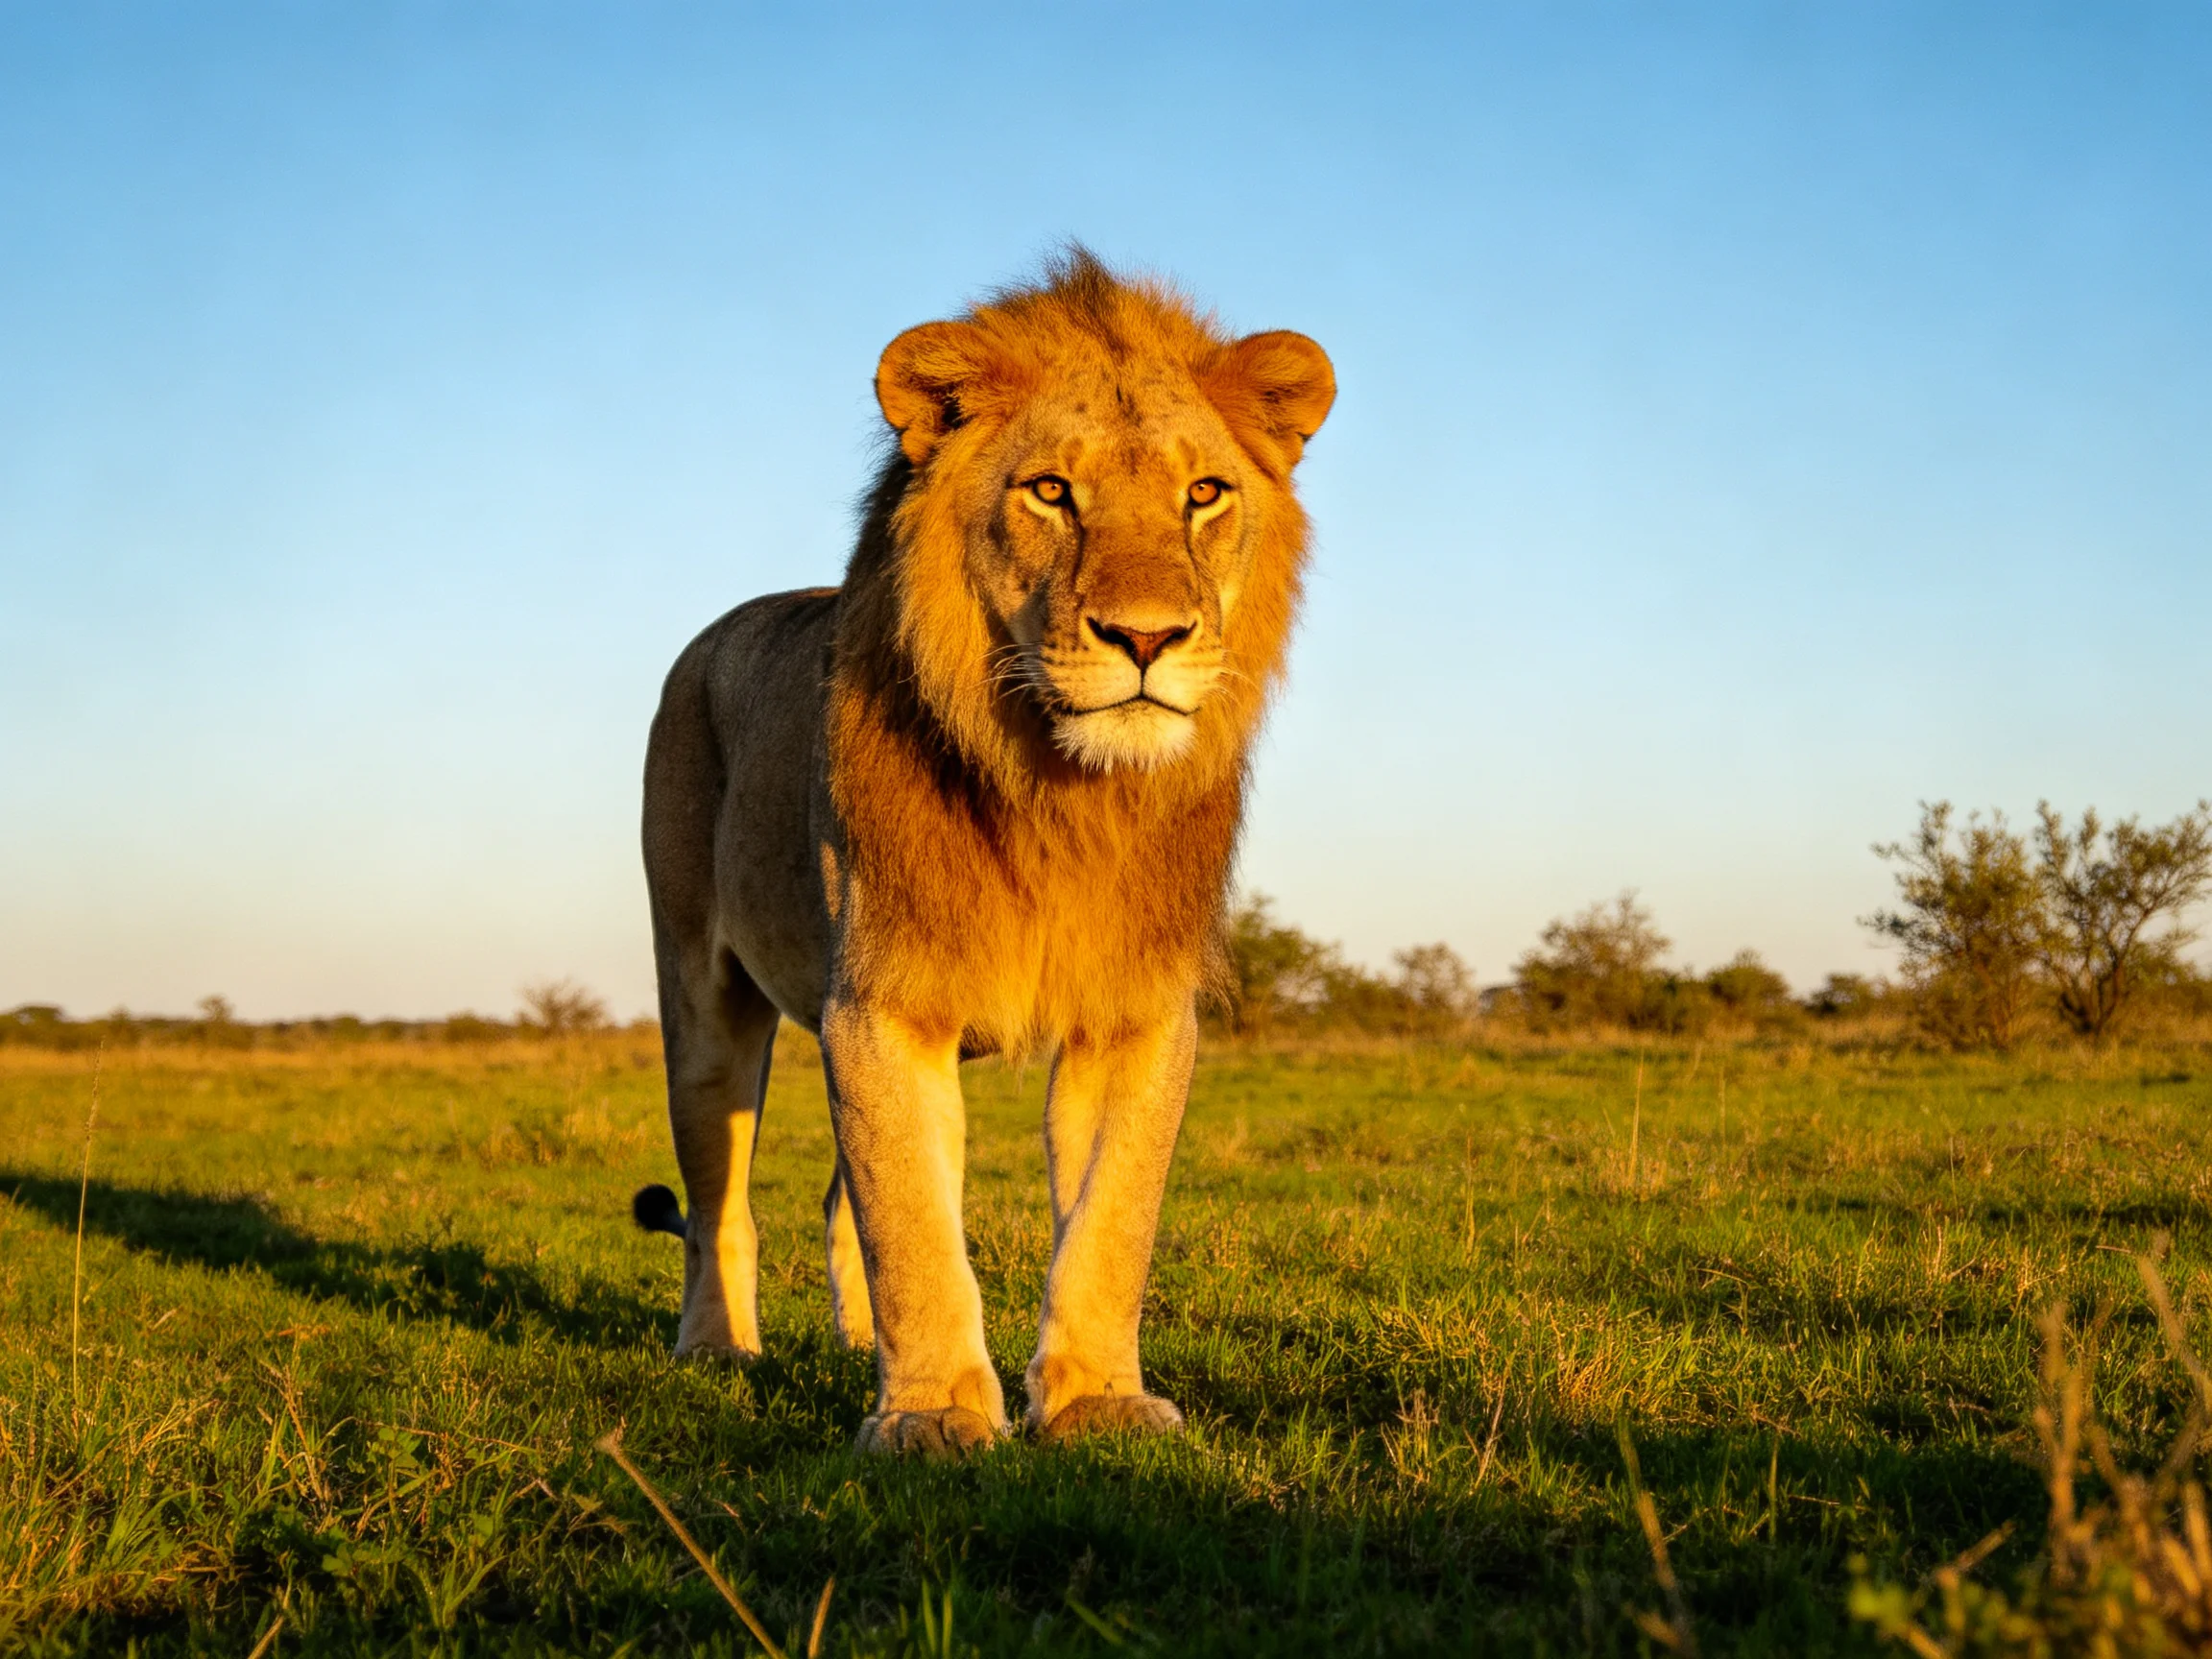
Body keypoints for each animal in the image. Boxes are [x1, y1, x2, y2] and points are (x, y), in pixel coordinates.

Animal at [633, 248, 1333, 1453]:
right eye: (1050, 491)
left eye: (1204, 494)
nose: (1147, 637)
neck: (1064, 794)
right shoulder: (882, 1000)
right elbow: (913, 1223)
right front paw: (931, 1416)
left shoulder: (1136, 1013)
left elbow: (1110, 1219)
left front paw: (1096, 1399)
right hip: (700, 992)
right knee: (720, 1197)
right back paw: (717, 1351)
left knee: (835, 1198)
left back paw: (853, 1348)